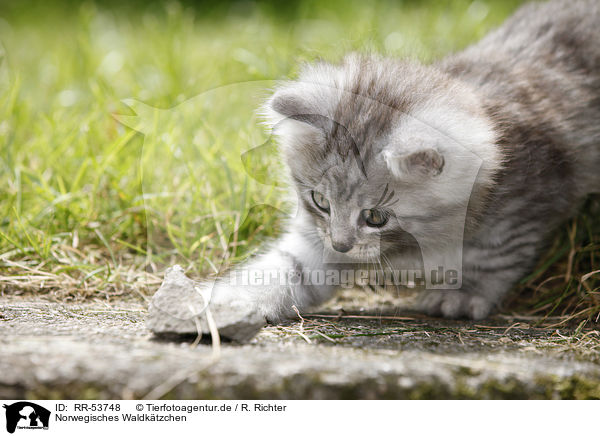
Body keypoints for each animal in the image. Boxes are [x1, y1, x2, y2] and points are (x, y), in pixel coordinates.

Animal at [205, 0, 600, 320]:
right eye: (320, 201)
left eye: (376, 217)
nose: (341, 245)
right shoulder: (316, 241)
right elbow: (286, 268)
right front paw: (227, 302)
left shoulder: (526, 204)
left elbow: (496, 255)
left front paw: (464, 294)